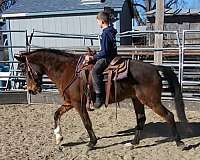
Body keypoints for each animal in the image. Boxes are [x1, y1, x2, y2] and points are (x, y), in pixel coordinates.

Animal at [14, 47, 188, 150]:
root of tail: (154, 67)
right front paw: (58, 137)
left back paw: (179, 142)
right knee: (141, 119)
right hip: (137, 100)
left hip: (151, 101)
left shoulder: (78, 104)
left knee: (169, 115)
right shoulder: (69, 102)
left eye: (24, 70)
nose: (31, 90)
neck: (67, 70)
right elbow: (56, 114)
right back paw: (133, 143)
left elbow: (86, 122)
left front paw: (92, 143)